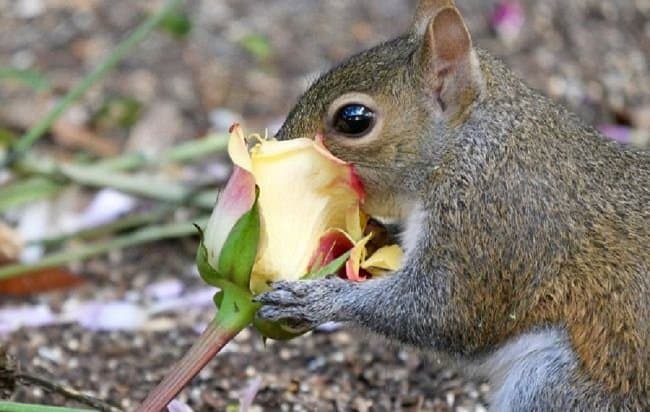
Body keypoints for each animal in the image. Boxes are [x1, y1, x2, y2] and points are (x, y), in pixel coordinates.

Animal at [254, 1, 648, 410]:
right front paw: (373, 236)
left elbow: (442, 313)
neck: (465, 150)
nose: (275, 145)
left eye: (354, 119)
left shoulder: (492, 224)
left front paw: (316, 300)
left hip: (554, 387)